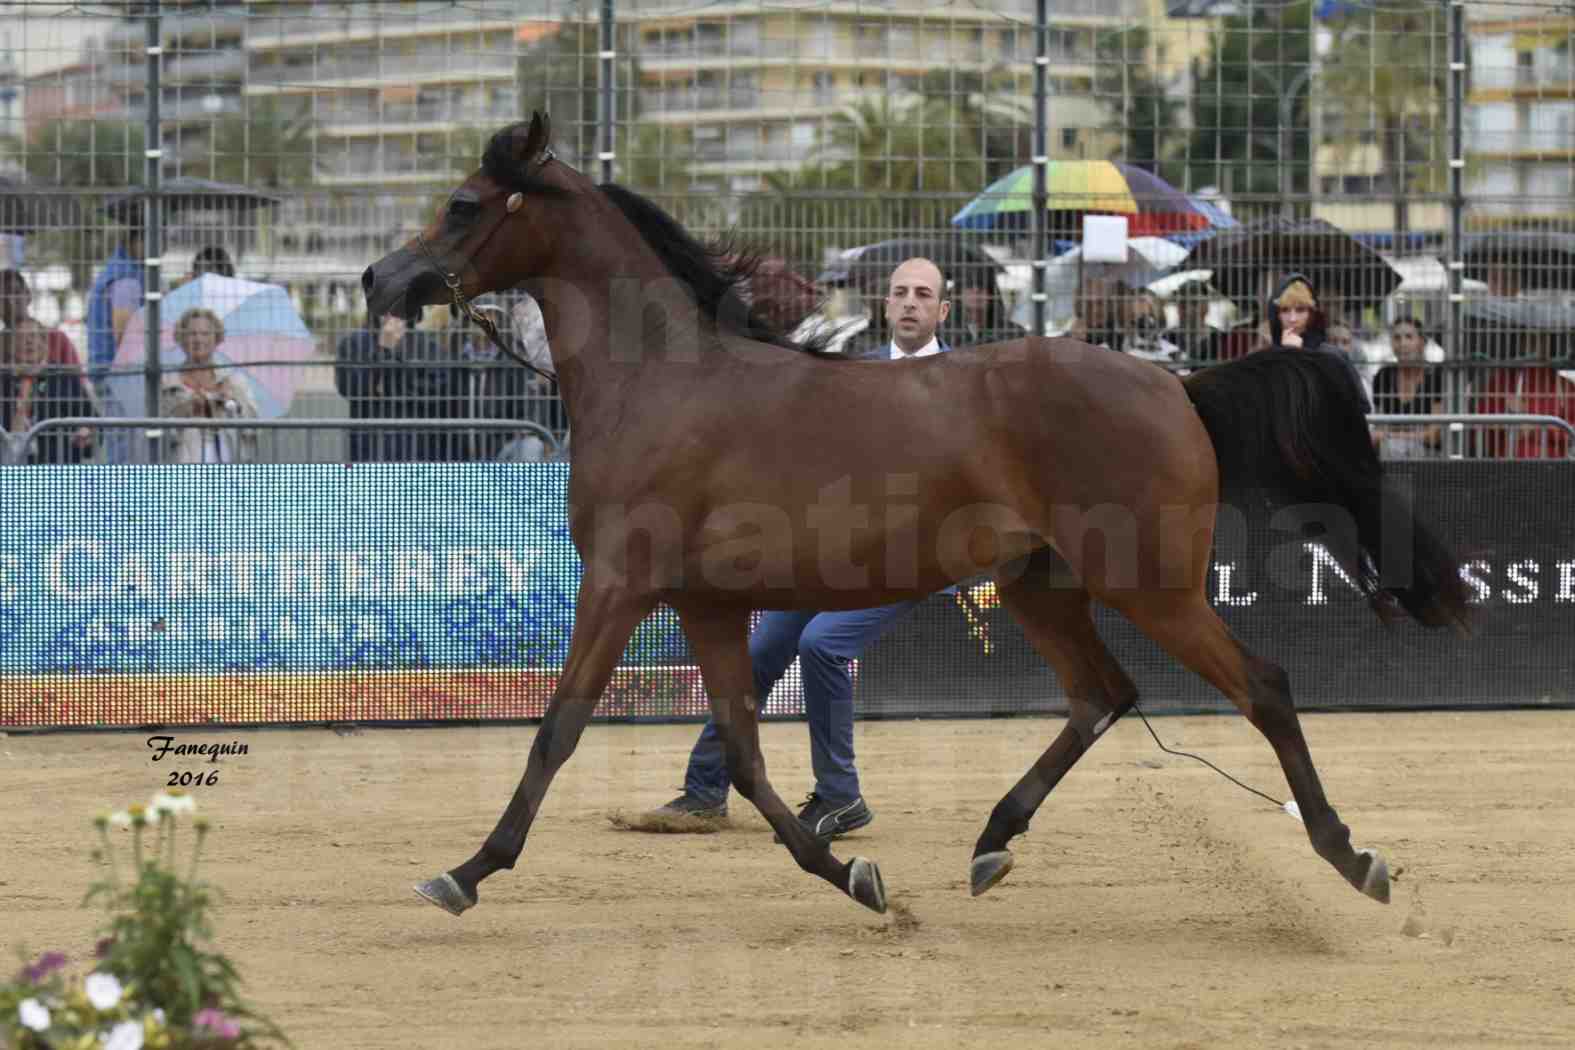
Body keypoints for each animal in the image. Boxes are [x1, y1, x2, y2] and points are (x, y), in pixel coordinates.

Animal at [362, 117, 1467, 919]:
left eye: (463, 205)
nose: (380, 280)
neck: (663, 383)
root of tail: (1177, 384)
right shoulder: (707, 604)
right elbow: (746, 753)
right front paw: (854, 878)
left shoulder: (620, 585)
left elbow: (557, 729)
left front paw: (465, 871)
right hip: (1041, 584)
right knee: (1102, 695)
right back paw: (989, 844)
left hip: (1148, 585)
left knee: (1262, 688)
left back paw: (1351, 855)